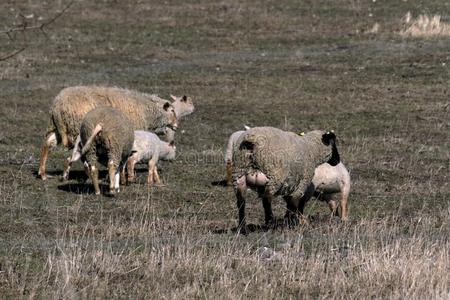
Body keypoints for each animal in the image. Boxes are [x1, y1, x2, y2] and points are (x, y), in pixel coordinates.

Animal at [38, 85, 179, 180]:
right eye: (172, 110)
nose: (176, 126)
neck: (147, 111)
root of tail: (57, 106)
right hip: (79, 130)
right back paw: (87, 174)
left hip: (57, 128)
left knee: (47, 144)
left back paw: (44, 173)